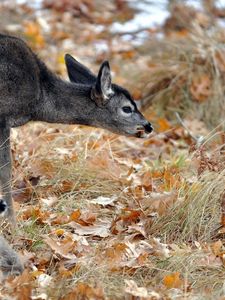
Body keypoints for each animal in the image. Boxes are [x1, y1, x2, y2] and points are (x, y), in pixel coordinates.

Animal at [0, 32, 153, 274]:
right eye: (127, 108)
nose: (148, 126)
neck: (40, 98)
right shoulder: (4, 116)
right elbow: (5, 170)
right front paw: (13, 227)